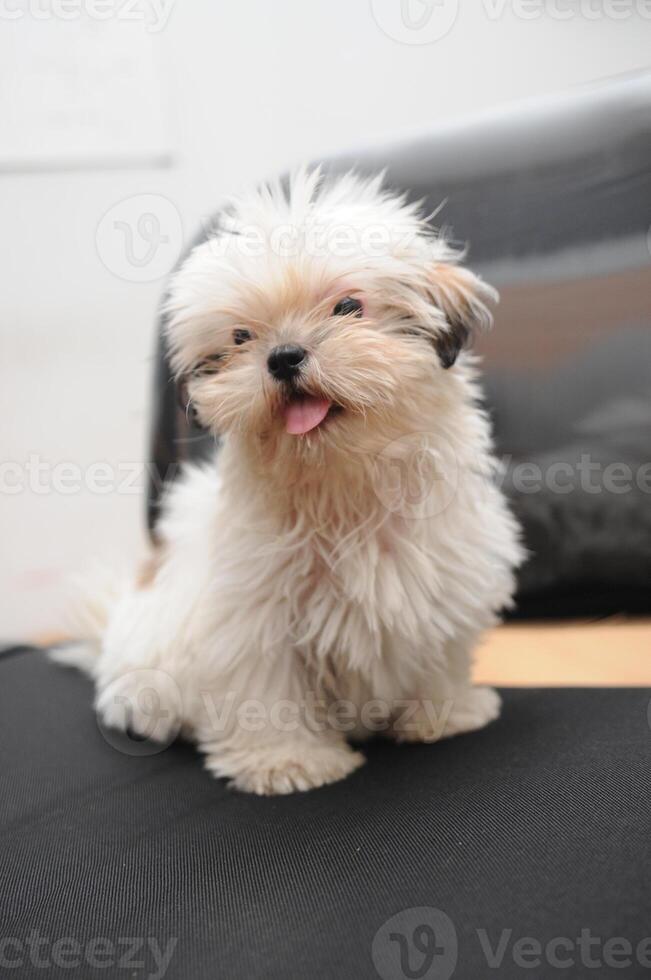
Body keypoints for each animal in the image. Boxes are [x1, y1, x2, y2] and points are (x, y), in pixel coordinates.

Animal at [57, 170, 524, 796]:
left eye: (349, 306)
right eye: (239, 337)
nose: (283, 356)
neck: (344, 483)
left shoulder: (450, 569)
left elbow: (441, 647)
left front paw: (444, 712)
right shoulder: (252, 617)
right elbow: (268, 688)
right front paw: (287, 760)